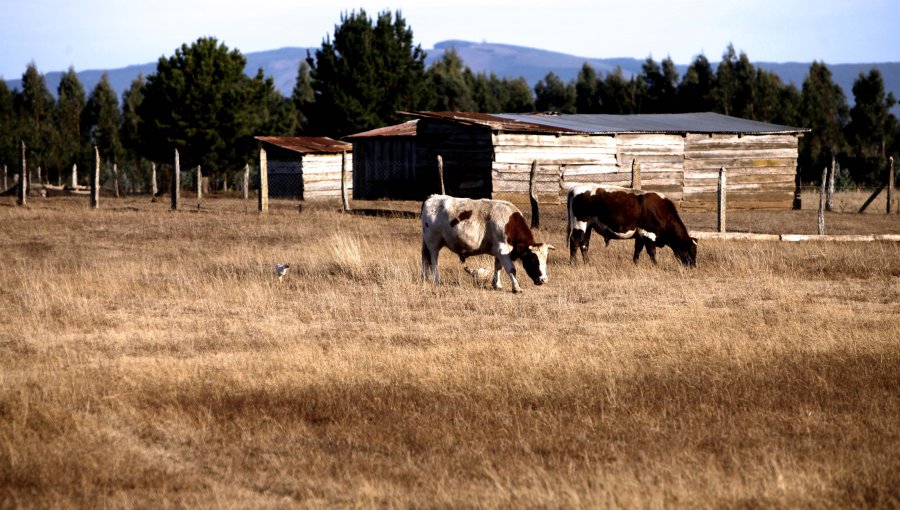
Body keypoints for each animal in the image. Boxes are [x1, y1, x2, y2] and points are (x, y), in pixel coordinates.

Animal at [420, 194, 552, 292]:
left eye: (545, 260)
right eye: (533, 260)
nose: (544, 280)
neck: (510, 224)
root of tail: (432, 197)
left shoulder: (500, 251)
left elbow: (498, 267)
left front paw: (497, 285)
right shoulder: (502, 250)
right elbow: (511, 269)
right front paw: (516, 287)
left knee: (425, 260)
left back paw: (424, 278)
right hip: (433, 243)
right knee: (434, 260)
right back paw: (437, 279)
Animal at [568, 185, 700, 268]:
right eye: (691, 251)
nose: (693, 266)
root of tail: (575, 188)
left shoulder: (640, 235)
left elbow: (637, 251)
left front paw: (635, 264)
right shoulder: (648, 234)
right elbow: (652, 252)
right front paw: (656, 266)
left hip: (588, 227)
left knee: (584, 244)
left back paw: (587, 263)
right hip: (580, 224)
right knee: (574, 241)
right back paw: (573, 264)